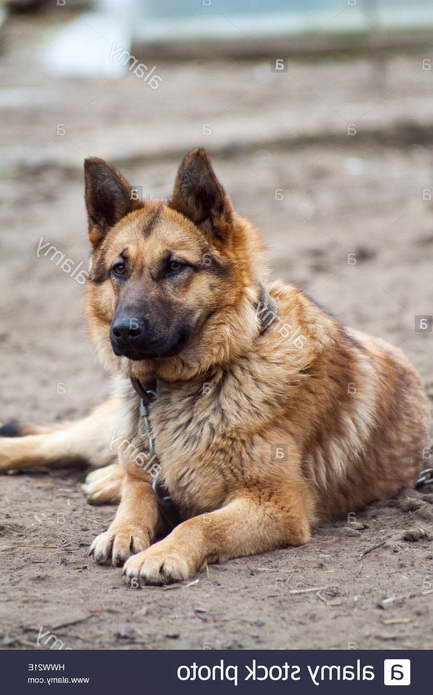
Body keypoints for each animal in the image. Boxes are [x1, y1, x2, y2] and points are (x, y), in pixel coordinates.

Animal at [1, 150, 430, 584]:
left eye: (174, 267)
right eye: (119, 269)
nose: (123, 332)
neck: (207, 374)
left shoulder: (277, 505)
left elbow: (200, 523)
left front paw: (162, 552)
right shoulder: (148, 476)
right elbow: (136, 498)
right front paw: (121, 531)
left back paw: (105, 480)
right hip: (107, 432)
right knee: (54, 443)